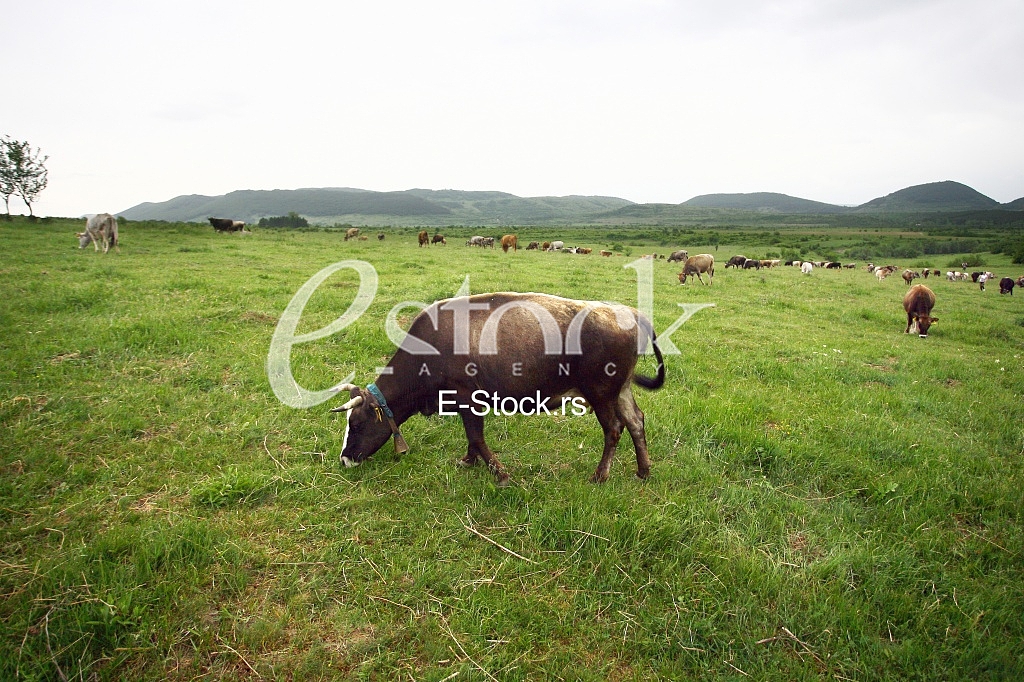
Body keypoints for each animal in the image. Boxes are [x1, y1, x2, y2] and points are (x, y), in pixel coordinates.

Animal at [330, 293, 666, 485]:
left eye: (356, 423)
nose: (345, 458)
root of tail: (633, 315)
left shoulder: (468, 398)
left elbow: (477, 437)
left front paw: (499, 473)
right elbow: (471, 438)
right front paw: (469, 462)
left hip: (600, 393)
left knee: (614, 429)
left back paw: (600, 476)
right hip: (620, 390)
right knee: (636, 421)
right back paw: (644, 470)